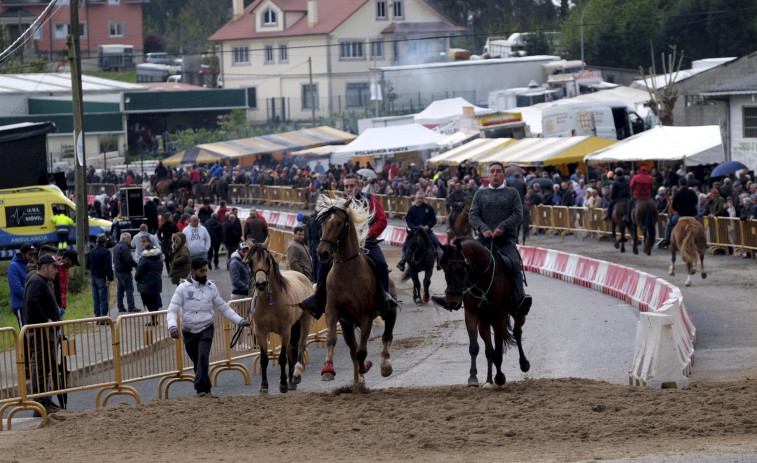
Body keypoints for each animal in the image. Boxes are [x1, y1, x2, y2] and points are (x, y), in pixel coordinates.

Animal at [248, 245, 314, 394]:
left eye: (267, 259)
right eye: (251, 261)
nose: (261, 284)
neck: (269, 302)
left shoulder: (285, 331)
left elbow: (282, 357)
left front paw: (283, 384)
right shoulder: (260, 332)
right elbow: (264, 359)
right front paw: (264, 386)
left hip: (304, 322)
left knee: (300, 345)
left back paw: (296, 374)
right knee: (291, 349)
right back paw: (291, 379)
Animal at [314, 194, 398, 390]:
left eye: (338, 223)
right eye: (323, 223)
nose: (322, 253)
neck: (347, 271)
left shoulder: (366, 316)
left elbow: (362, 352)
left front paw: (366, 367)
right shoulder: (333, 312)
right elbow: (332, 339)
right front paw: (328, 369)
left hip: (390, 312)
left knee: (386, 337)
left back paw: (384, 366)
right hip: (347, 324)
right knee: (353, 350)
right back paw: (356, 383)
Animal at [434, 236, 528, 388]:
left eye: (460, 269)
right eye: (443, 269)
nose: (451, 301)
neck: (483, 278)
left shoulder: (499, 317)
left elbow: (499, 351)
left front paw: (500, 377)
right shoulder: (471, 315)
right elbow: (475, 347)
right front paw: (473, 378)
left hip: (518, 313)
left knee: (517, 332)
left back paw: (523, 364)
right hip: (484, 322)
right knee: (489, 350)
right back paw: (489, 380)